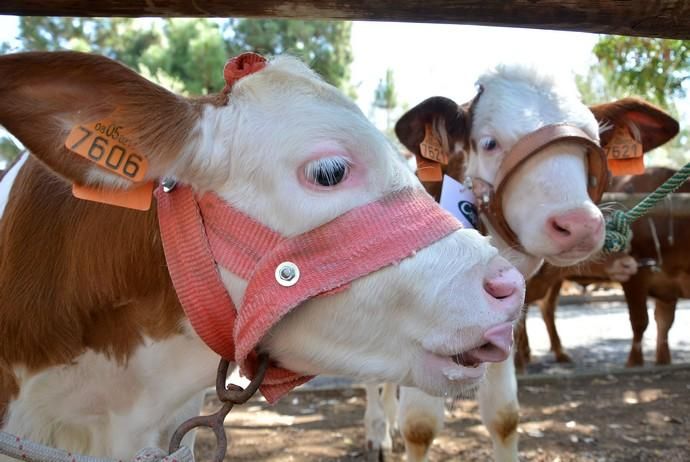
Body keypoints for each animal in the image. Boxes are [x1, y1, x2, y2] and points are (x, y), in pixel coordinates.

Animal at [362, 67, 676, 460]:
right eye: (489, 143)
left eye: (592, 143)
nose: (579, 224)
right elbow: (420, 425)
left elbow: (504, 416)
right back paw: (377, 434)